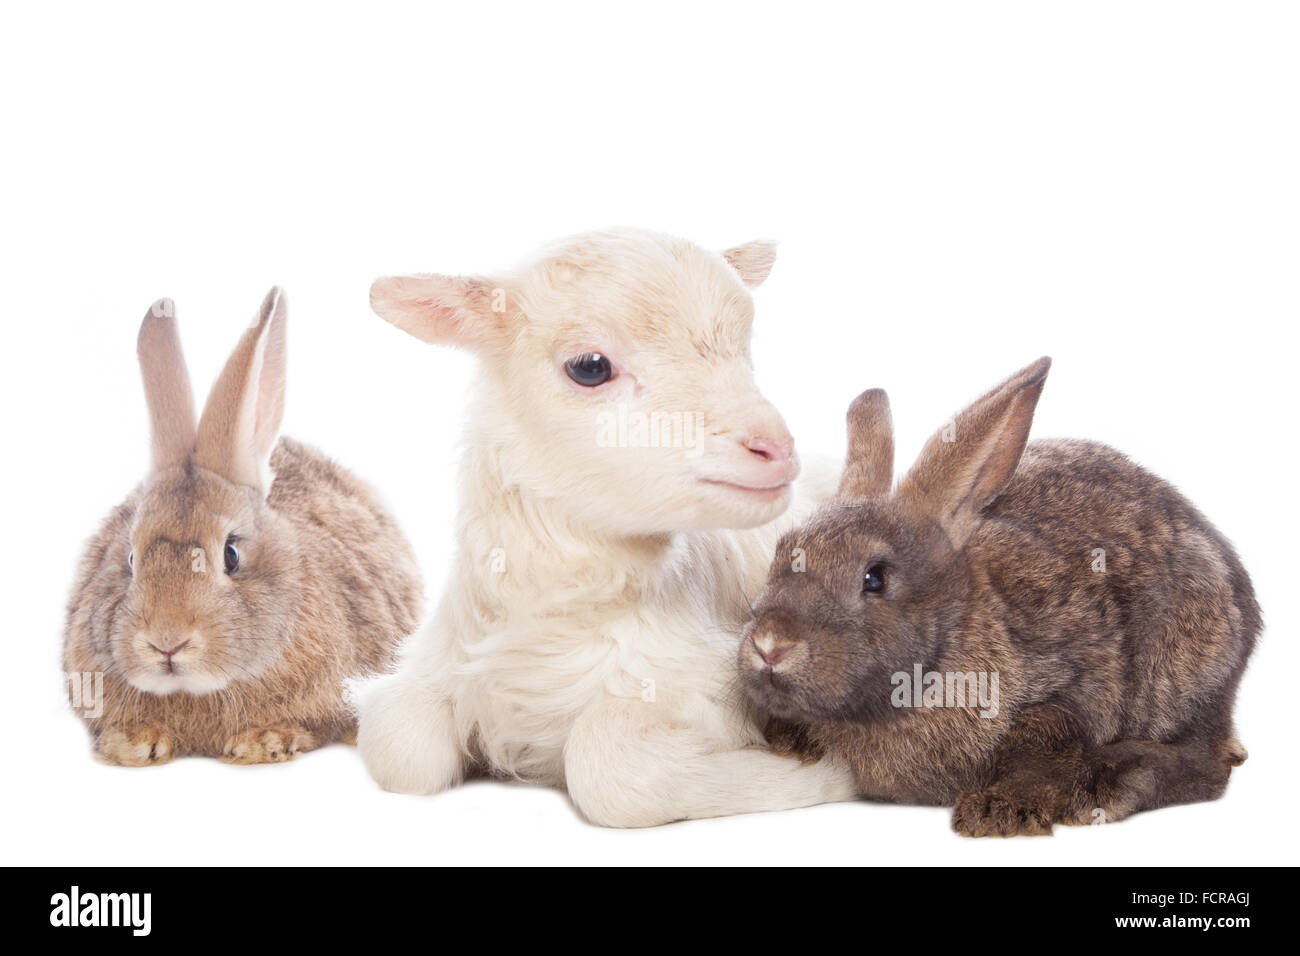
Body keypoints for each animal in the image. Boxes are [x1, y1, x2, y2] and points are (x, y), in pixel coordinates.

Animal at [356, 230, 857, 826]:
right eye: (590, 367)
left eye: (744, 347)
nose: (775, 448)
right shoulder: (438, 663)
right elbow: (398, 748)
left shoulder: (709, 684)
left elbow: (607, 767)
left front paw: (822, 771)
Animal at [739, 357, 1259, 836]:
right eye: (781, 553)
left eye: (874, 578)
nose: (771, 646)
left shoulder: (1065, 691)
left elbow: (1042, 750)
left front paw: (999, 813)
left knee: (1208, 765)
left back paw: (1109, 787)